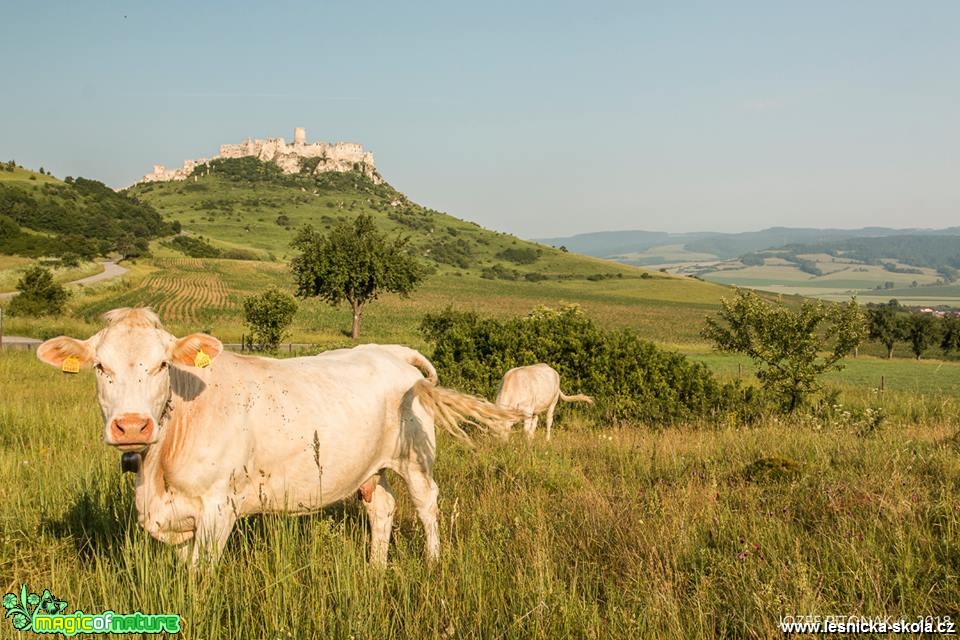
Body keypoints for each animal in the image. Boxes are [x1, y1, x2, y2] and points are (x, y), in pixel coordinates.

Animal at [37, 310, 520, 564]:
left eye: (161, 365)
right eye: (100, 366)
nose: (132, 426)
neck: (157, 475)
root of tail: (390, 351)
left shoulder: (218, 507)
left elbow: (198, 577)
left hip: (416, 460)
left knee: (426, 504)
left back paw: (433, 562)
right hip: (371, 467)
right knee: (382, 508)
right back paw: (375, 568)